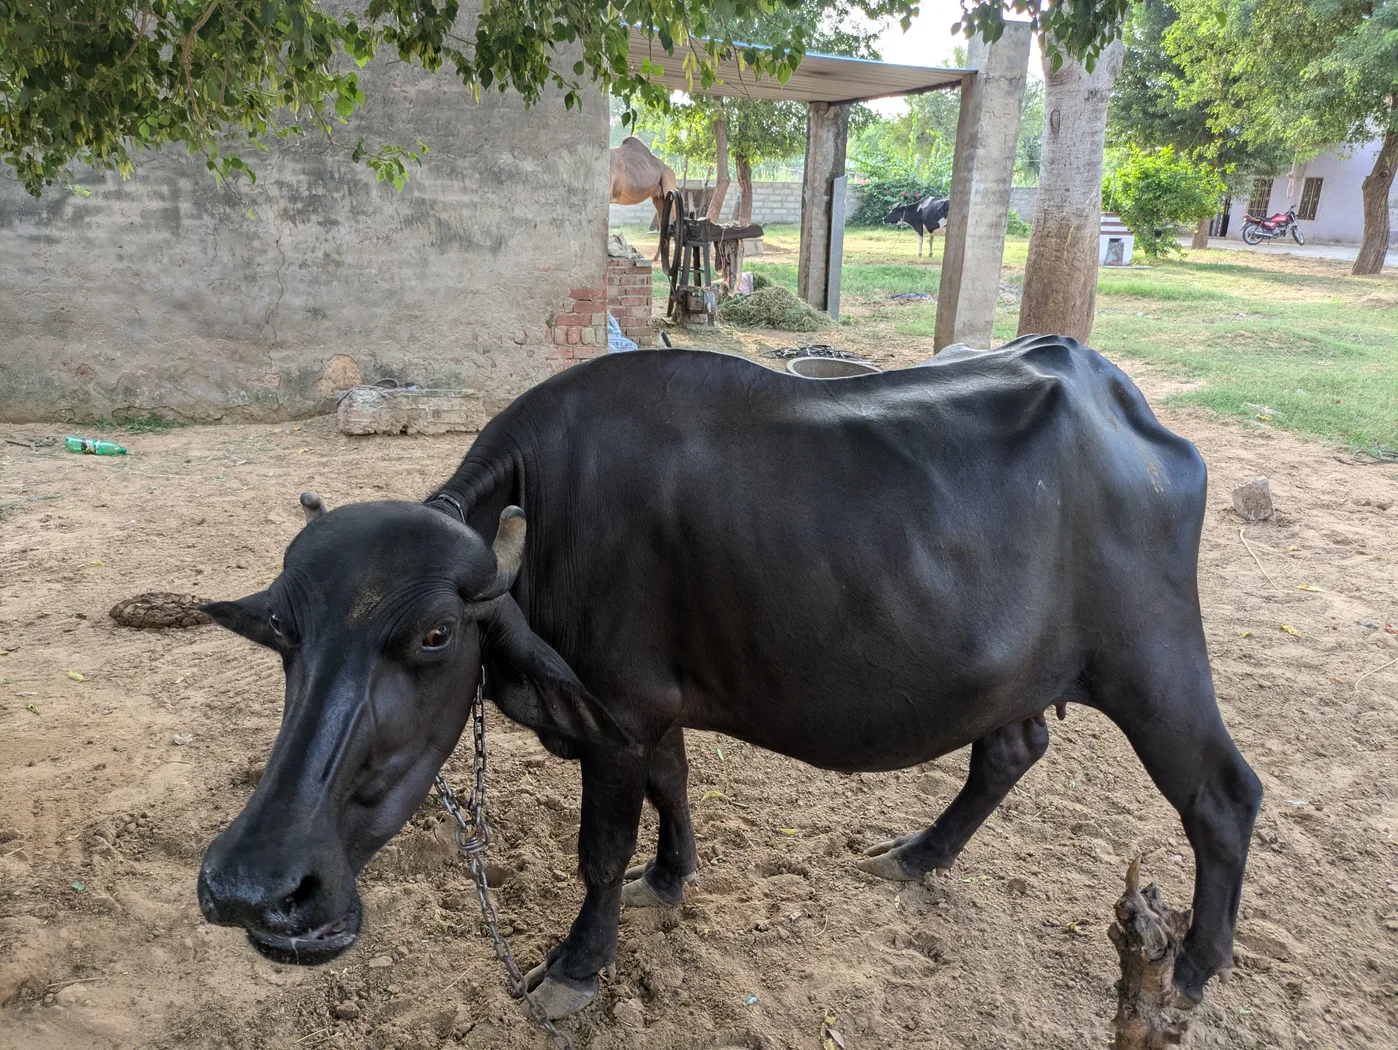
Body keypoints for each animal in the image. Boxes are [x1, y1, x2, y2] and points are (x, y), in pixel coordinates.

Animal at [198, 336, 1261, 1021]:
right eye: (285, 636)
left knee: (1223, 795)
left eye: (432, 635)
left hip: (1153, 662)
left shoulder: (618, 718)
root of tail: (1124, 403)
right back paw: (915, 856)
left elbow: (599, 850)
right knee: (1012, 746)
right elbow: (674, 785)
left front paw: (577, 967)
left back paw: (1194, 969)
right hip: (1022, 677)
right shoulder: (651, 714)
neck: (549, 516)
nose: (257, 888)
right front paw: (671, 877)